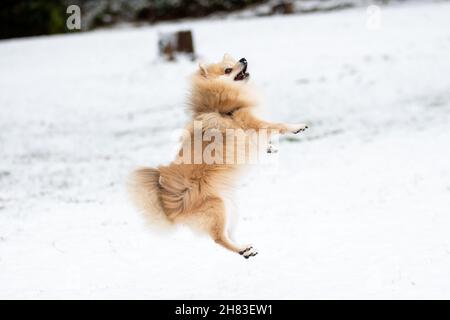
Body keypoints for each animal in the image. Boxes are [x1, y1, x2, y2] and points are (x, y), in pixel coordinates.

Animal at [128, 53, 308, 258]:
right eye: (228, 70)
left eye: (232, 63)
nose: (243, 58)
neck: (222, 106)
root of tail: (170, 208)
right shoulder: (253, 122)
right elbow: (279, 125)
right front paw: (296, 127)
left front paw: (269, 148)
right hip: (218, 206)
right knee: (219, 238)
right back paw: (242, 249)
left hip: (231, 207)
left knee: (226, 235)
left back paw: (245, 250)